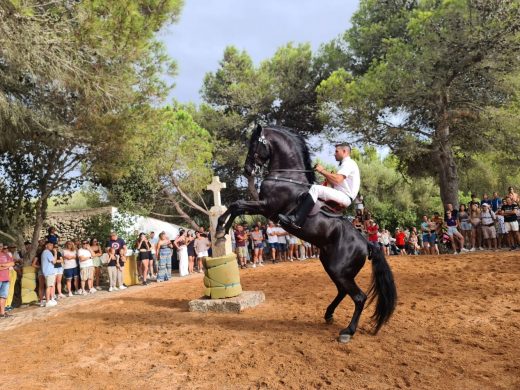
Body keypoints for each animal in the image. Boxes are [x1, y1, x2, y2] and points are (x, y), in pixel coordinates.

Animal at [215, 125, 398, 342]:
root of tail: (366, 243)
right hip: (332, 266)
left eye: (254, 143)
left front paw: (219, 229)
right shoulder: (264, 208)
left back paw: (347, 332)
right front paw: (222, 231)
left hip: (339, 270)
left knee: (359, 297)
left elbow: (237, 205)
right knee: (342, 291)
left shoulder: (267, 207)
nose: (247, 169)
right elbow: (236, 207)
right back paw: (328, 314)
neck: (288, 177)